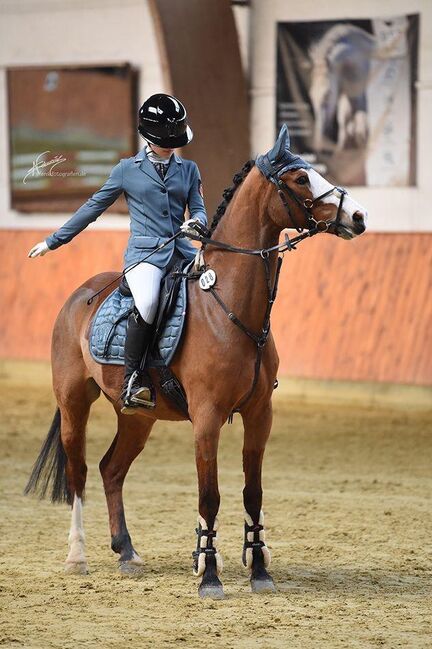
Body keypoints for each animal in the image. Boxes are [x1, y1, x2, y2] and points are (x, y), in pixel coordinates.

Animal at [25, 125, 366, 596]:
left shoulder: (260, 414)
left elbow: (252, 493)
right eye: (300, 179)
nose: (359, 217)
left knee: (111, 470)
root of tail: (80, 294)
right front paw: (209, 574)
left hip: (137, 417)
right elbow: (210, 494)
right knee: (78, 471)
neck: (229, 308)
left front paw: (260, 570)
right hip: (74, 402)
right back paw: (77, 557)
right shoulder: (207, 417)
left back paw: (127, 552)